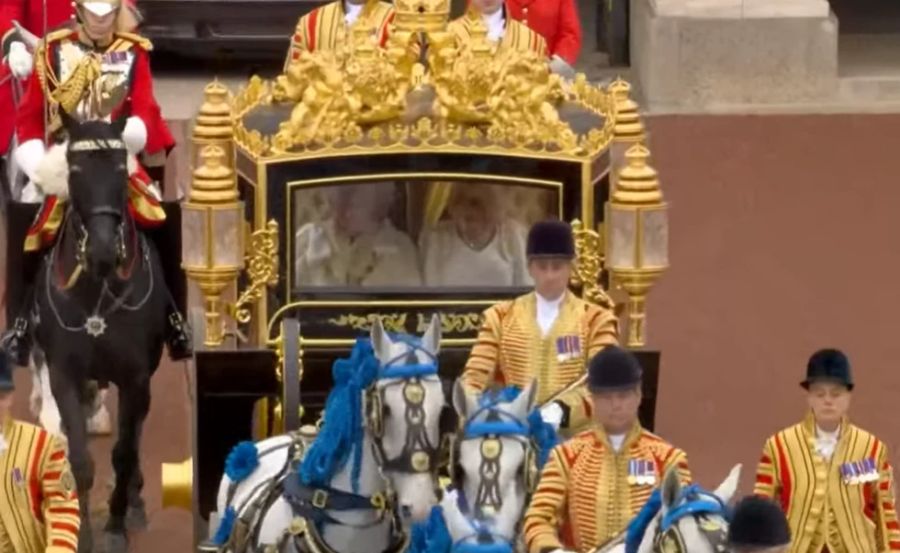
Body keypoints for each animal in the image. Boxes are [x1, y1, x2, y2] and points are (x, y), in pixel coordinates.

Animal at [36, 113, 170, 552]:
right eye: (75, 170)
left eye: (119, 169)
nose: (103, 252)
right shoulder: (64, 374)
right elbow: (81, 459)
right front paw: (82, 534)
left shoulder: (135, 377)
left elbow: (123, 453)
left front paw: (115, 525)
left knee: (136, 432)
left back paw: (135, 499)